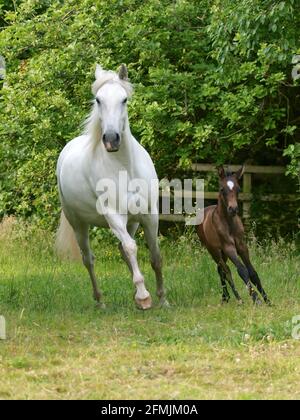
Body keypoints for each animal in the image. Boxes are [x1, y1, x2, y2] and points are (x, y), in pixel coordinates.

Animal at [55, 64, 166, 310]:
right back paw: (100, 301)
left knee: (122, 250)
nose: (111, 139)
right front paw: (144, 297)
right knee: (89, 259)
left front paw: (163, 298)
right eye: (98, 100)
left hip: (132, 222)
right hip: (79, 224)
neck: (125, 168)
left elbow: (155, 255)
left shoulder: (149, 215)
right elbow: (132, 248)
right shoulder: (114, 216)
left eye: (124, 99)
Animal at [196, 165, 270, 306]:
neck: (229, 224)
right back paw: (238, 299)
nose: (233, 209)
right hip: (214, 251)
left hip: (221, 254)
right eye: (222, 189)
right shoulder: (229, 248)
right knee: (226, 270)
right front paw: (256, 299)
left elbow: (252, 272)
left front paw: (267, 300)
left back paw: (226, 297)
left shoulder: (242, 246)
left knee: (220, 270)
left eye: (239, 189)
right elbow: (242, 270)